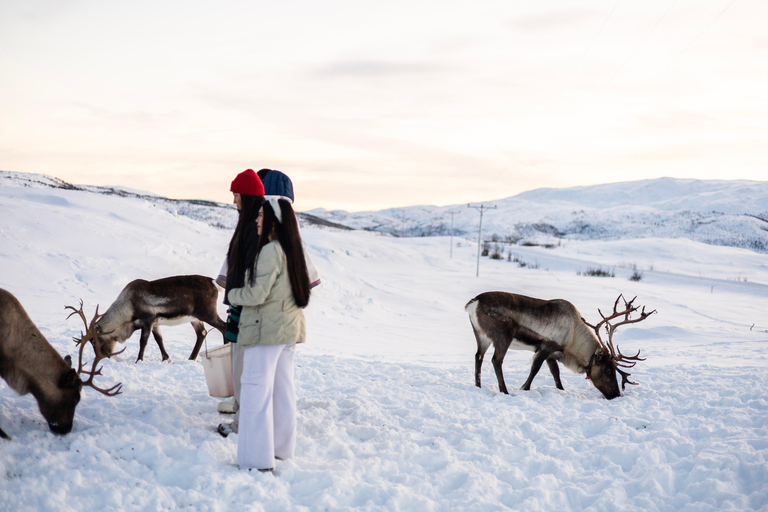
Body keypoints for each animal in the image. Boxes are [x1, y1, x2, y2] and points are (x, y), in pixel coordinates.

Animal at [94, 275, 227, 363]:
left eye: (95, 340)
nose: (101, 357)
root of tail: (213, 282)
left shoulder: (147, 320)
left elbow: (143, 341)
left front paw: (139, 360)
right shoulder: (155, 323)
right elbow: (159, 339)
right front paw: (166, 358)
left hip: (208, 314)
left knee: (223, 327)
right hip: (195, 318)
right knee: (202, 332)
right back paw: (191, 358)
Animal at [466, 292, 653, 400]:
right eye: (608, 371)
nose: (616, 394)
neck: (573, 338)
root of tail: (473, 302)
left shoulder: (553, 354)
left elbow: (556, 374)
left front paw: (562, 390)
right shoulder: (546, 347)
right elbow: (535, 370)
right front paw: (524, 388)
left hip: (481, 336)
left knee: (478, 357)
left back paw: (478, 386)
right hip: (503, 336)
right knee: (496, 361)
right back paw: (505, 392)